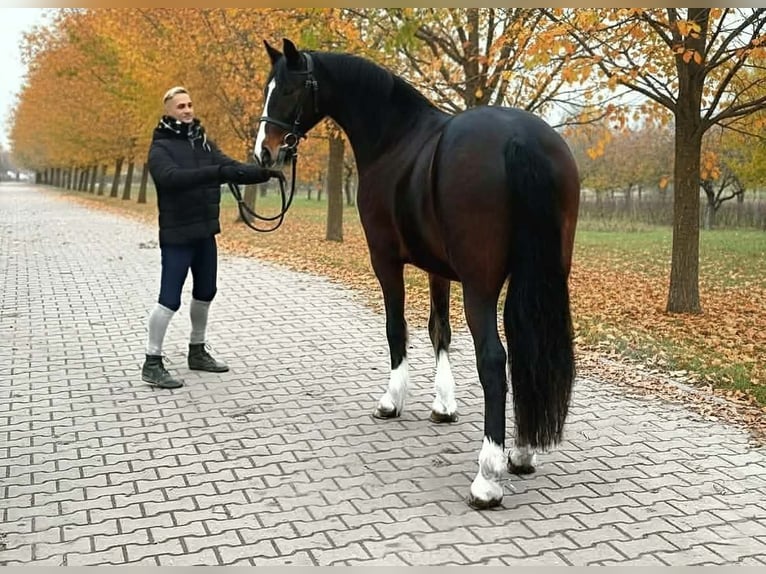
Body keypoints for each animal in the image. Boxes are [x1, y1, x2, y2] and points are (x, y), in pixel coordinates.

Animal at [255, 38, 580, 509]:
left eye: (287, 89)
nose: (264, 151)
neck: (394, 137)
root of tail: (520, 139)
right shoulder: (437, 268)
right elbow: (439, 329)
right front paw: (443, 406)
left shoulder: (385, 259)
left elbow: (397, 328)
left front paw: (392, 401)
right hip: (540, 278)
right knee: (528, 352)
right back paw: (521, 453)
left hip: (481, 288)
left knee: (494, 359)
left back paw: (487, 477)